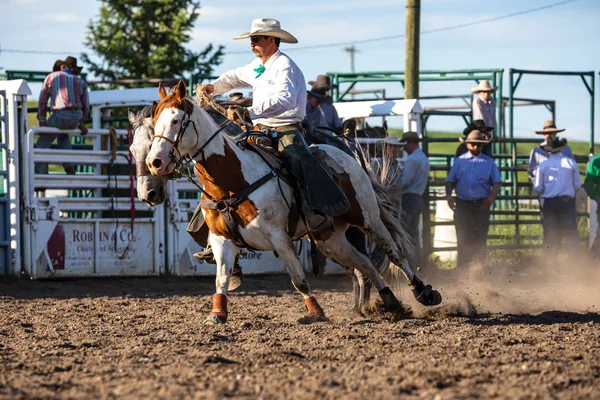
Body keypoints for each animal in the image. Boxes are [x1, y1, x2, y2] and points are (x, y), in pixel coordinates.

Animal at [145, 81, 440, 324]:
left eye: (176, 121)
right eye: (154, 122)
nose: (154, 162)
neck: (233, 180)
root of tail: (346, 154)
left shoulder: (280, 238)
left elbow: (300, 281)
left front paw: (316, 313)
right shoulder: (221, 241)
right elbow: (221, 281)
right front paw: (217, 314)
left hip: (367, 218)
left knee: (393, 253)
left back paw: (423, 293)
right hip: (329, 239)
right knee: (364, 263)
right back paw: (390, 303)